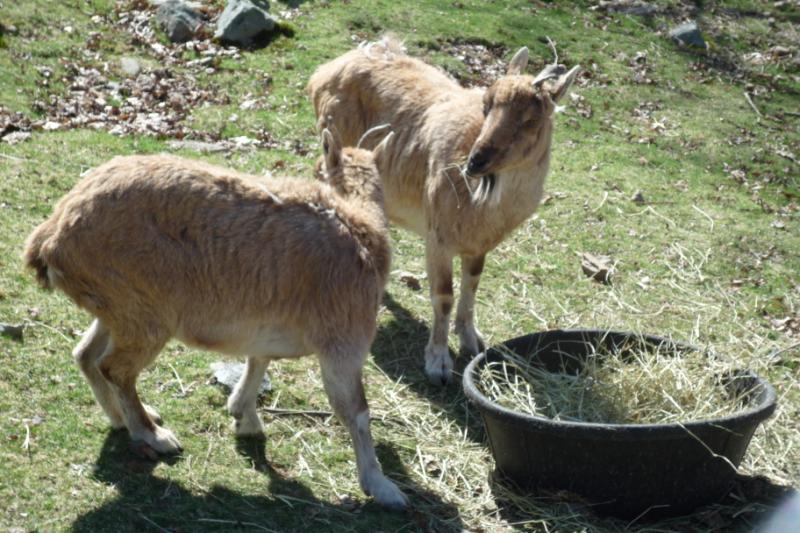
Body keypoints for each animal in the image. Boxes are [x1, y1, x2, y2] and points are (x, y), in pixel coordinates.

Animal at [22, 129, 408, 509]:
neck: (359, 229)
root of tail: (51, 236)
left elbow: (258, 362)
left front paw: (244, 417)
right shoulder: (343, 341)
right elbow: (355, 411)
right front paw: (383, 487)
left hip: (118, 310)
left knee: (87, 355)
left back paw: (124, 419)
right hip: (146, 316)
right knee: (115, 368)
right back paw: (154, 435)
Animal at [308, 36, 579, 384]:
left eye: (532, 119)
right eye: (486, 104)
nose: (477, 161)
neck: (483, 206)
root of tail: (324, 72)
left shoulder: (478, 244)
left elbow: (472, 284)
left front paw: (471, 340)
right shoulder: (438, 237)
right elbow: (443, 295)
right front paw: (438, 362)